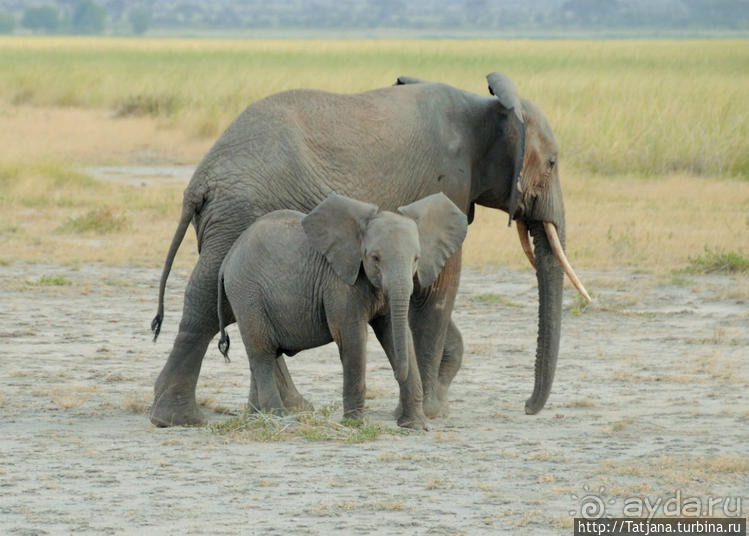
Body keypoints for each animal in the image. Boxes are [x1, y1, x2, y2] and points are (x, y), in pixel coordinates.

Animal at [213, 191, 464, 430]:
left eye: (416, 259)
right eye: (375, 258)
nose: (394, 374)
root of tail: (227, 260)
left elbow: (395, 334)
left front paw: (416, 426)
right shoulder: (339, 282)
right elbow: (352, 337)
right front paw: (354, 424)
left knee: (263, 355)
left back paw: (256, 418)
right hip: (247, 293)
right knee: (262, 351)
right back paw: (278, 418)